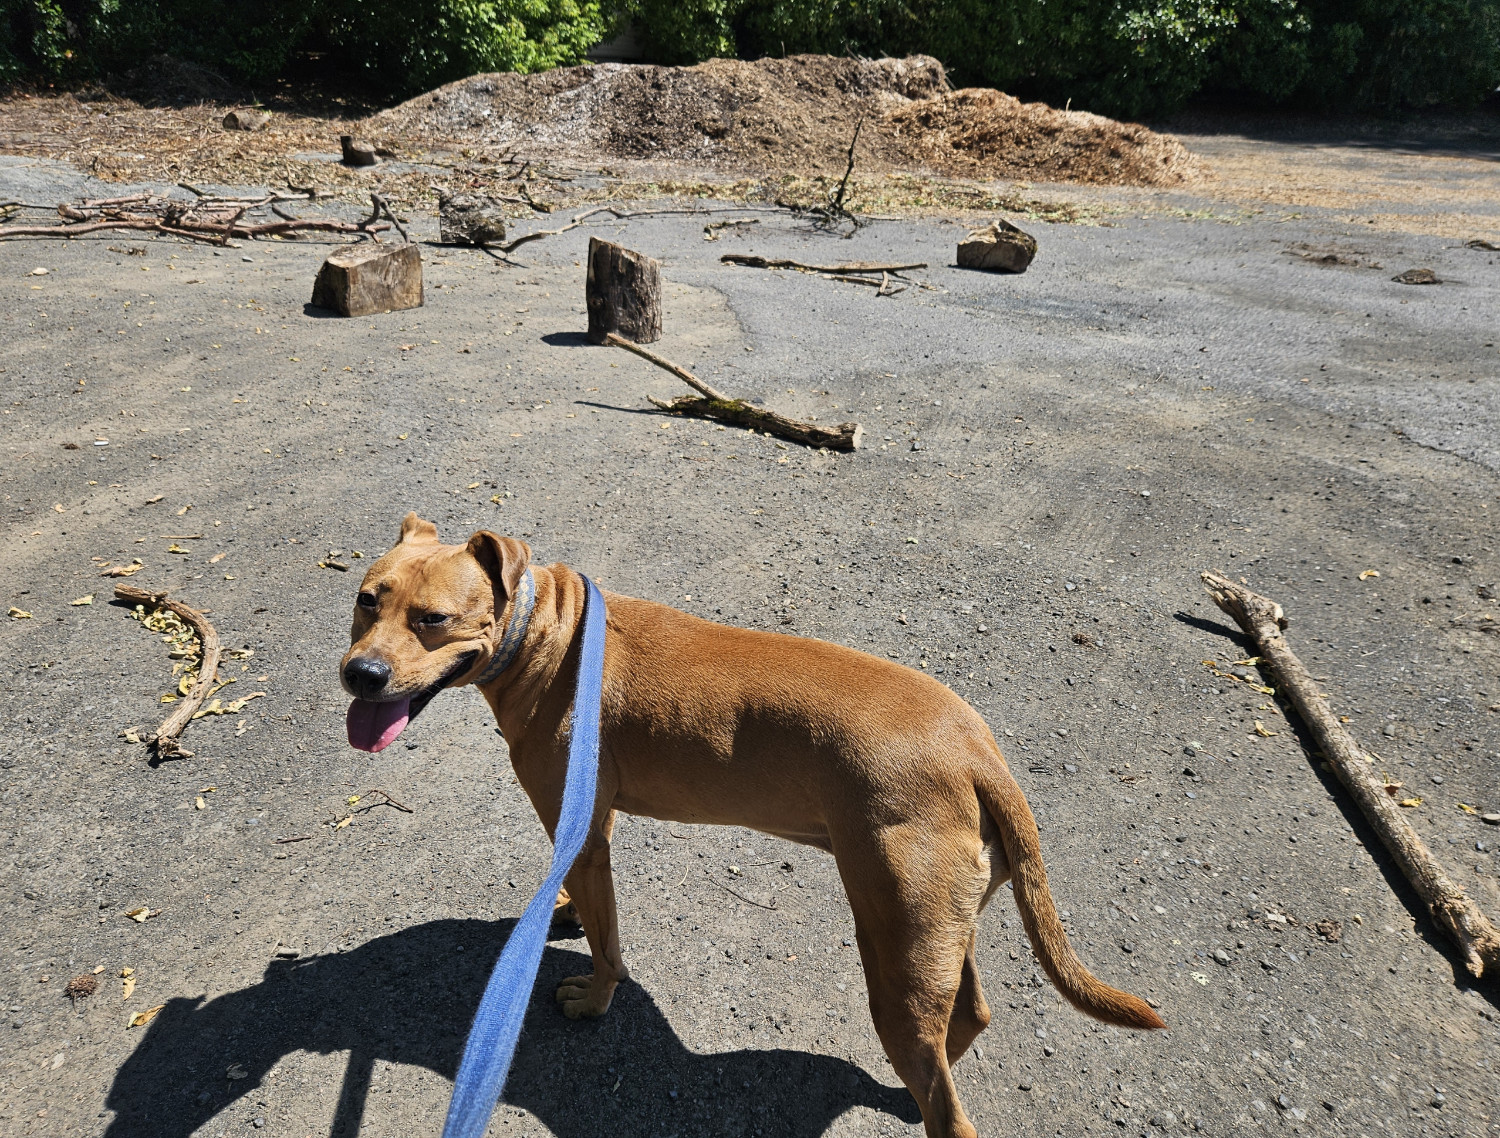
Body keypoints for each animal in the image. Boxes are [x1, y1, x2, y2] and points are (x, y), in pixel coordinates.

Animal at [343, 515, 1170, 1138]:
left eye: (433, 620)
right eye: (365, 601)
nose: (360, 675)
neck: (546, 633)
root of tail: (977, 750)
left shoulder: (582, 823)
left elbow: (610, 943)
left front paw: (596, 997)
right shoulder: (588, 825)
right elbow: (586, 898)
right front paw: (568, 910)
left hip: (896, 943)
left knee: (949, 1108)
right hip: (933, 927)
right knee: (965, 1018)